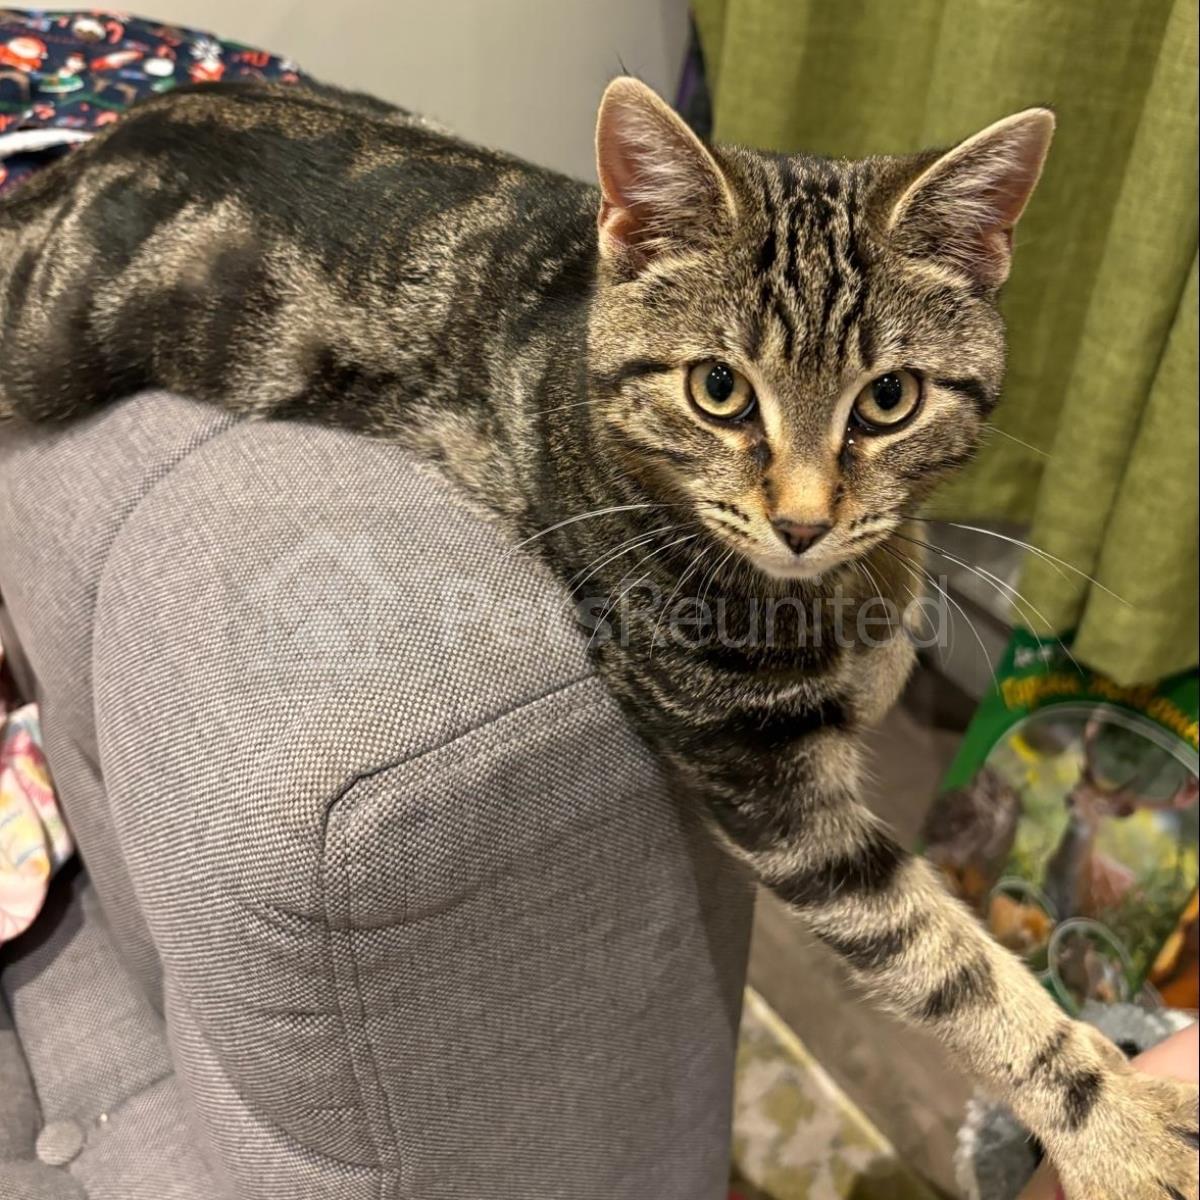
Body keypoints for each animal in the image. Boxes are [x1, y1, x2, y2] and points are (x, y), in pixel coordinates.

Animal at [1, 78, 1196, 1200]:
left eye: (890, 399)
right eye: (718, 390)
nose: (804, 522)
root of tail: (93, 151)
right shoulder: (765, 781)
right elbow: (947, 961)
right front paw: (1122, 1129)